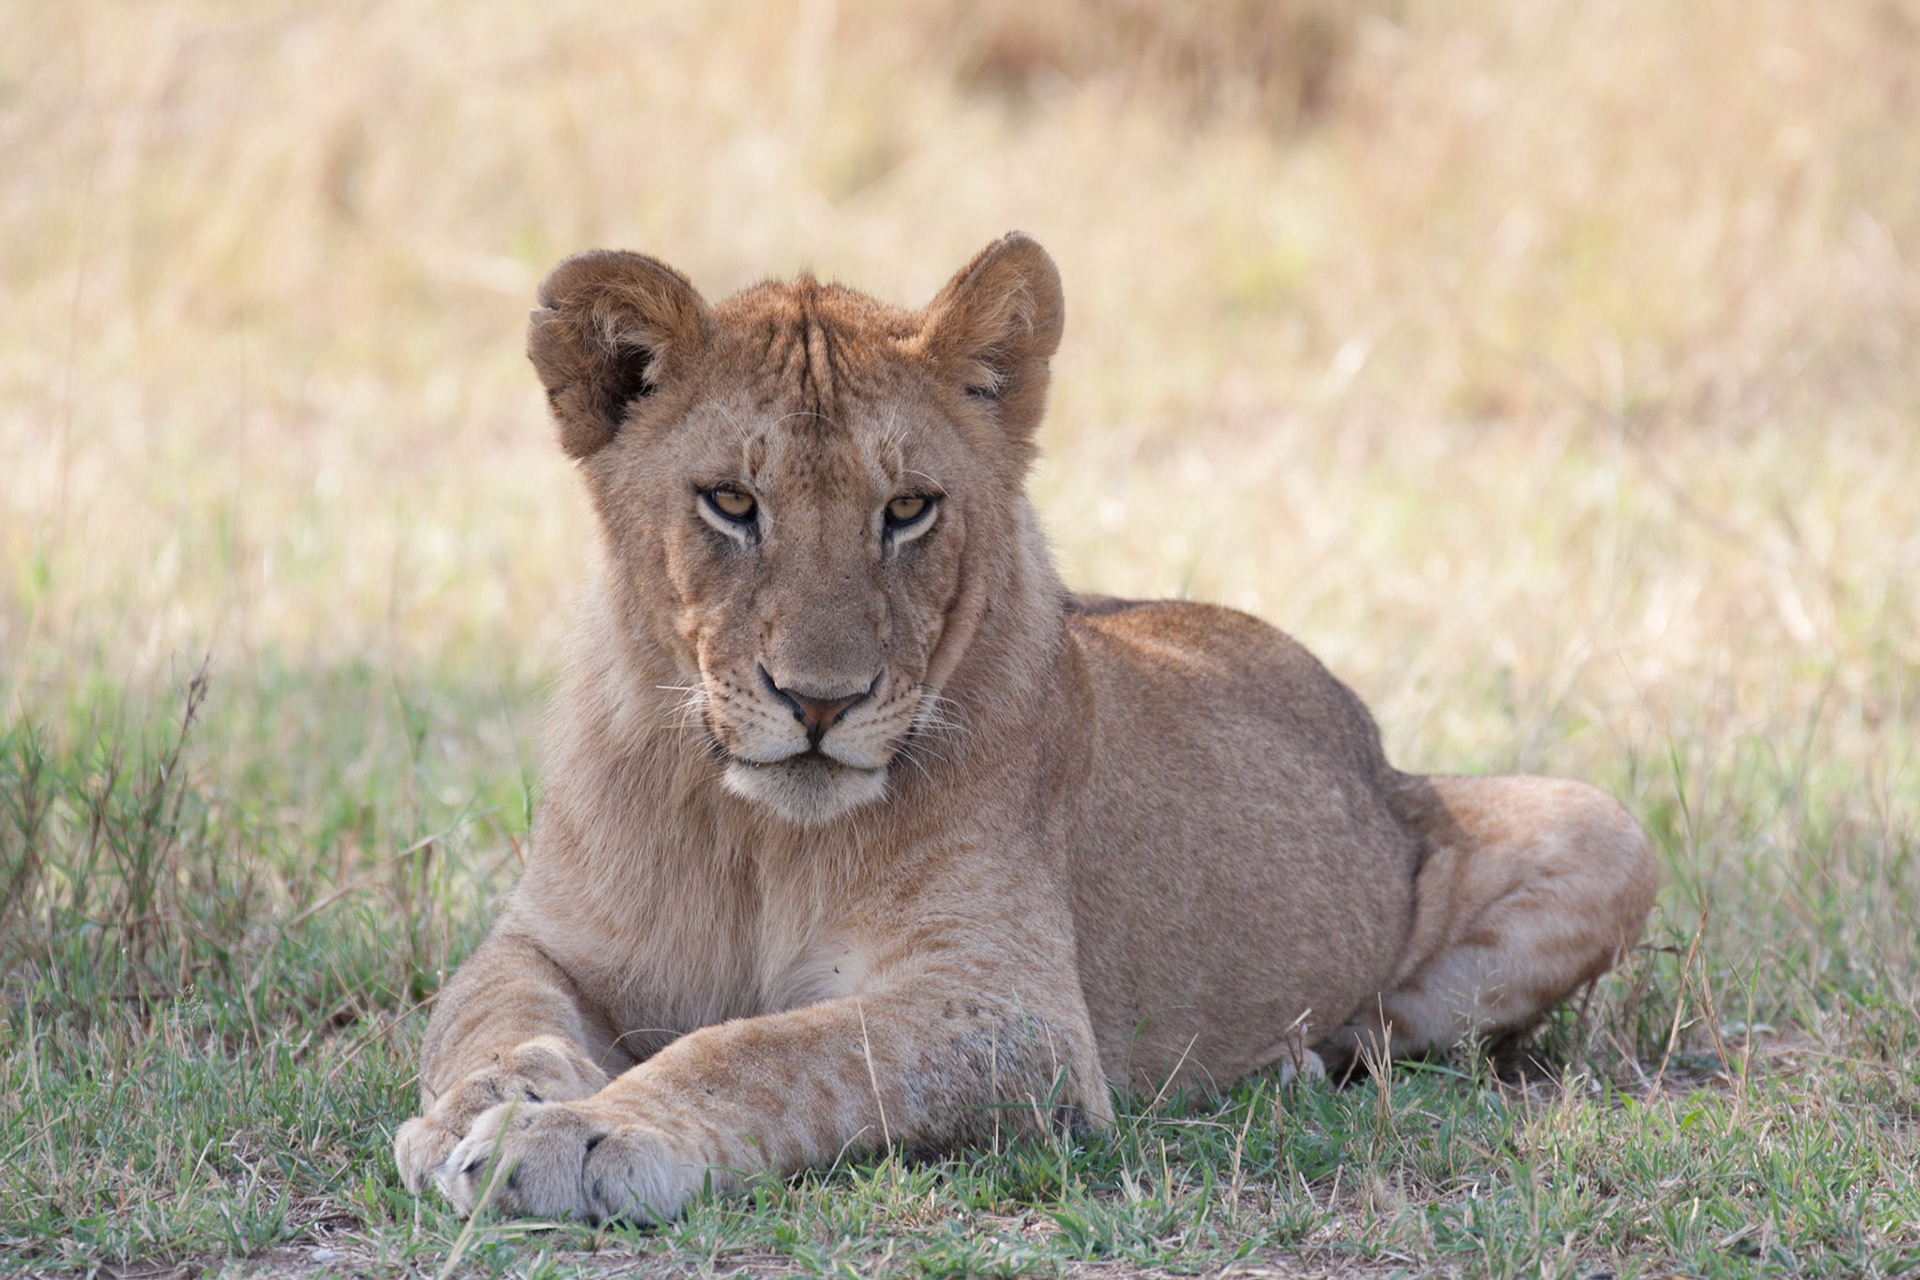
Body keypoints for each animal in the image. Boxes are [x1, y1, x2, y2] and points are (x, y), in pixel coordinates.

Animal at [392, 233, 1657, 1221]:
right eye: (731, 503)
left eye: (908, 509)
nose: (820, 700)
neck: (757, 832)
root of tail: (1366, 735)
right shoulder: (542, 940)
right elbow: (492, 1019)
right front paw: (478, 1109)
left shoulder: (1018, 1018)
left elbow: (773, 1048)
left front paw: (583, 1134)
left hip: (1602, 827)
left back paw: (1291, 1063)